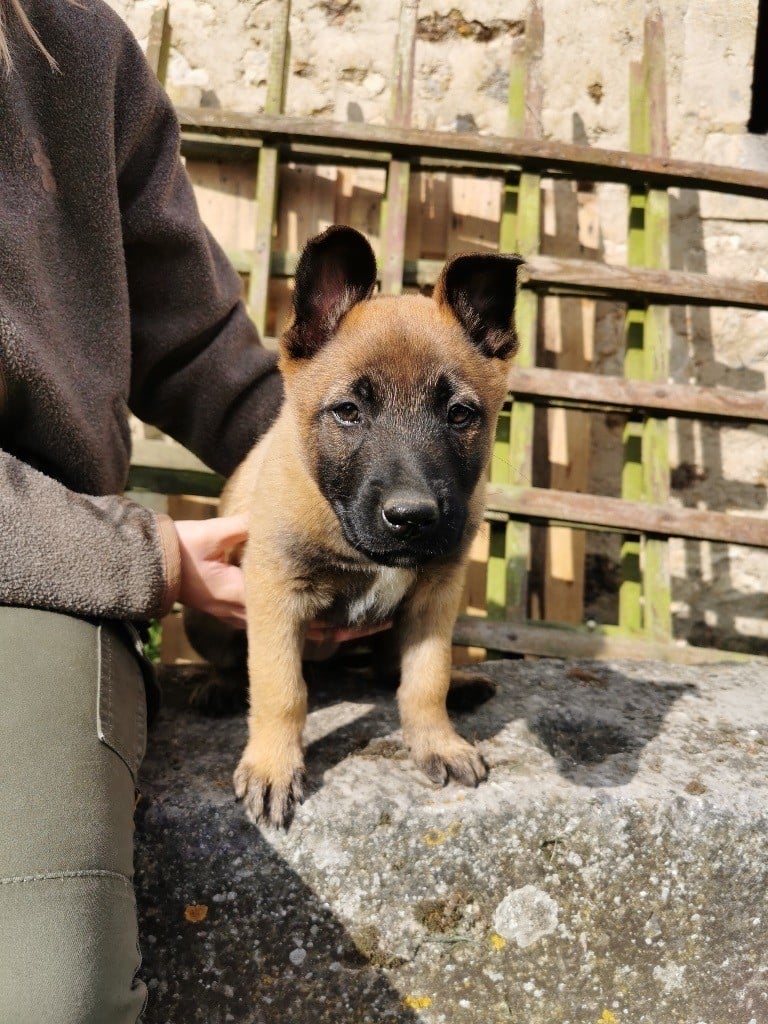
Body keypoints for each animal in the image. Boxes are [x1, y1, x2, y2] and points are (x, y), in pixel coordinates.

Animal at [188, 228, 520, 827]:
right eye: (347, 412)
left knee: (391, 669)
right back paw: (219, 687)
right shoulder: (274, 593)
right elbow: (279, 688)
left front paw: (437, 741)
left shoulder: (436, 595)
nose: (412, 518)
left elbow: (425, 678)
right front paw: (273, 766)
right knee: (236, 663)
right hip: (206, 619)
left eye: (460, 415)